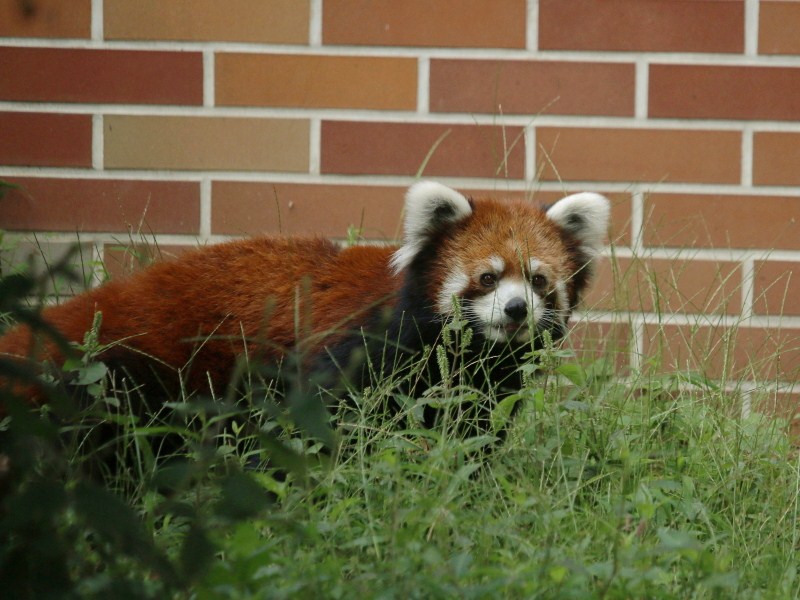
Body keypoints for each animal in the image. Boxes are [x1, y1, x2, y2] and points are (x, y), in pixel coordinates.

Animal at [0, 180, 608, 428]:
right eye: (487, 277)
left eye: (538, 280)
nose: (516, 310)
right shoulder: (358, 348)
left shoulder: (483, 382)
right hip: (125, 375)